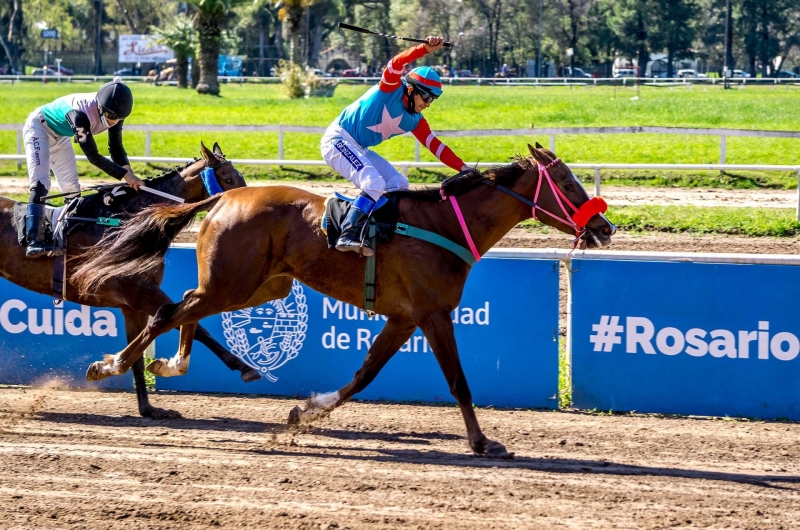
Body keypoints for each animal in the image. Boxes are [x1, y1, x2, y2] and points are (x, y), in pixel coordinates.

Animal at [0, 142, 256, 418]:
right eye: (228, 178)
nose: (246, 206)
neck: (129, 224)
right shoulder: (140, 292)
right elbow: (193, 326)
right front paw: (244, 367)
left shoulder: (132, 305)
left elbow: (140, 352)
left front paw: (148, 408)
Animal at [73, 143, 612, 454]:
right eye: (567, 184)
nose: (605, 228)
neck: (446, 226)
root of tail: (223, 198)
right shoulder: (434, 312)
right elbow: (458, 382)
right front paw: (483, 443)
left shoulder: (403, 317)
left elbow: (364, 375)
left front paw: (304, 413)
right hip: (235, 282)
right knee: (168, 311)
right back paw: (111, 364)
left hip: (258, 285)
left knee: (184, 304)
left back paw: (170, 365)